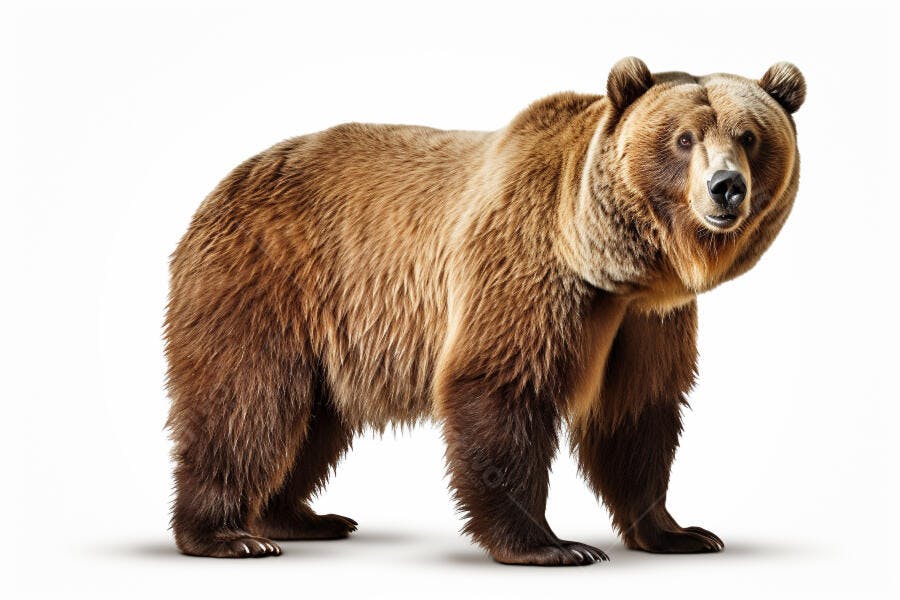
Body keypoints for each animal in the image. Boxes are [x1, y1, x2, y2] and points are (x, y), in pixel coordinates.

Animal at [165, 57, 804, 565]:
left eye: (749, 135)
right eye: (684, 138)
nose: (726, 186)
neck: (615, 265)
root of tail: (226, 181)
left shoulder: (649, 320)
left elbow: (638, 413)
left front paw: (680, 532)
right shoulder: (527, 267)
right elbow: (502, 386)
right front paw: (551, 545)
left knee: (312, 419)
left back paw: (299, 517)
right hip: (269, 279)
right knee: (246, 400)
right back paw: (227, 534)